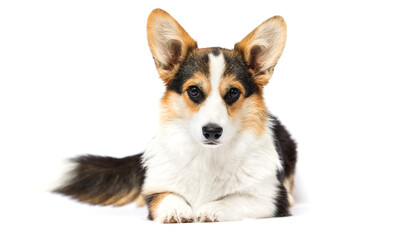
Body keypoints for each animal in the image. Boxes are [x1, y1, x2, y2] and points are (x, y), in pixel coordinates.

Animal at [55, 8, 296, 223]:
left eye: (233, 92)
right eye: (194, 90)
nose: (212, 132)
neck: (208, 156)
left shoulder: (271, 200)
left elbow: (234, 200)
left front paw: (212, 208)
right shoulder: (156, 191)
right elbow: (167, 196)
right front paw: (176, 210)